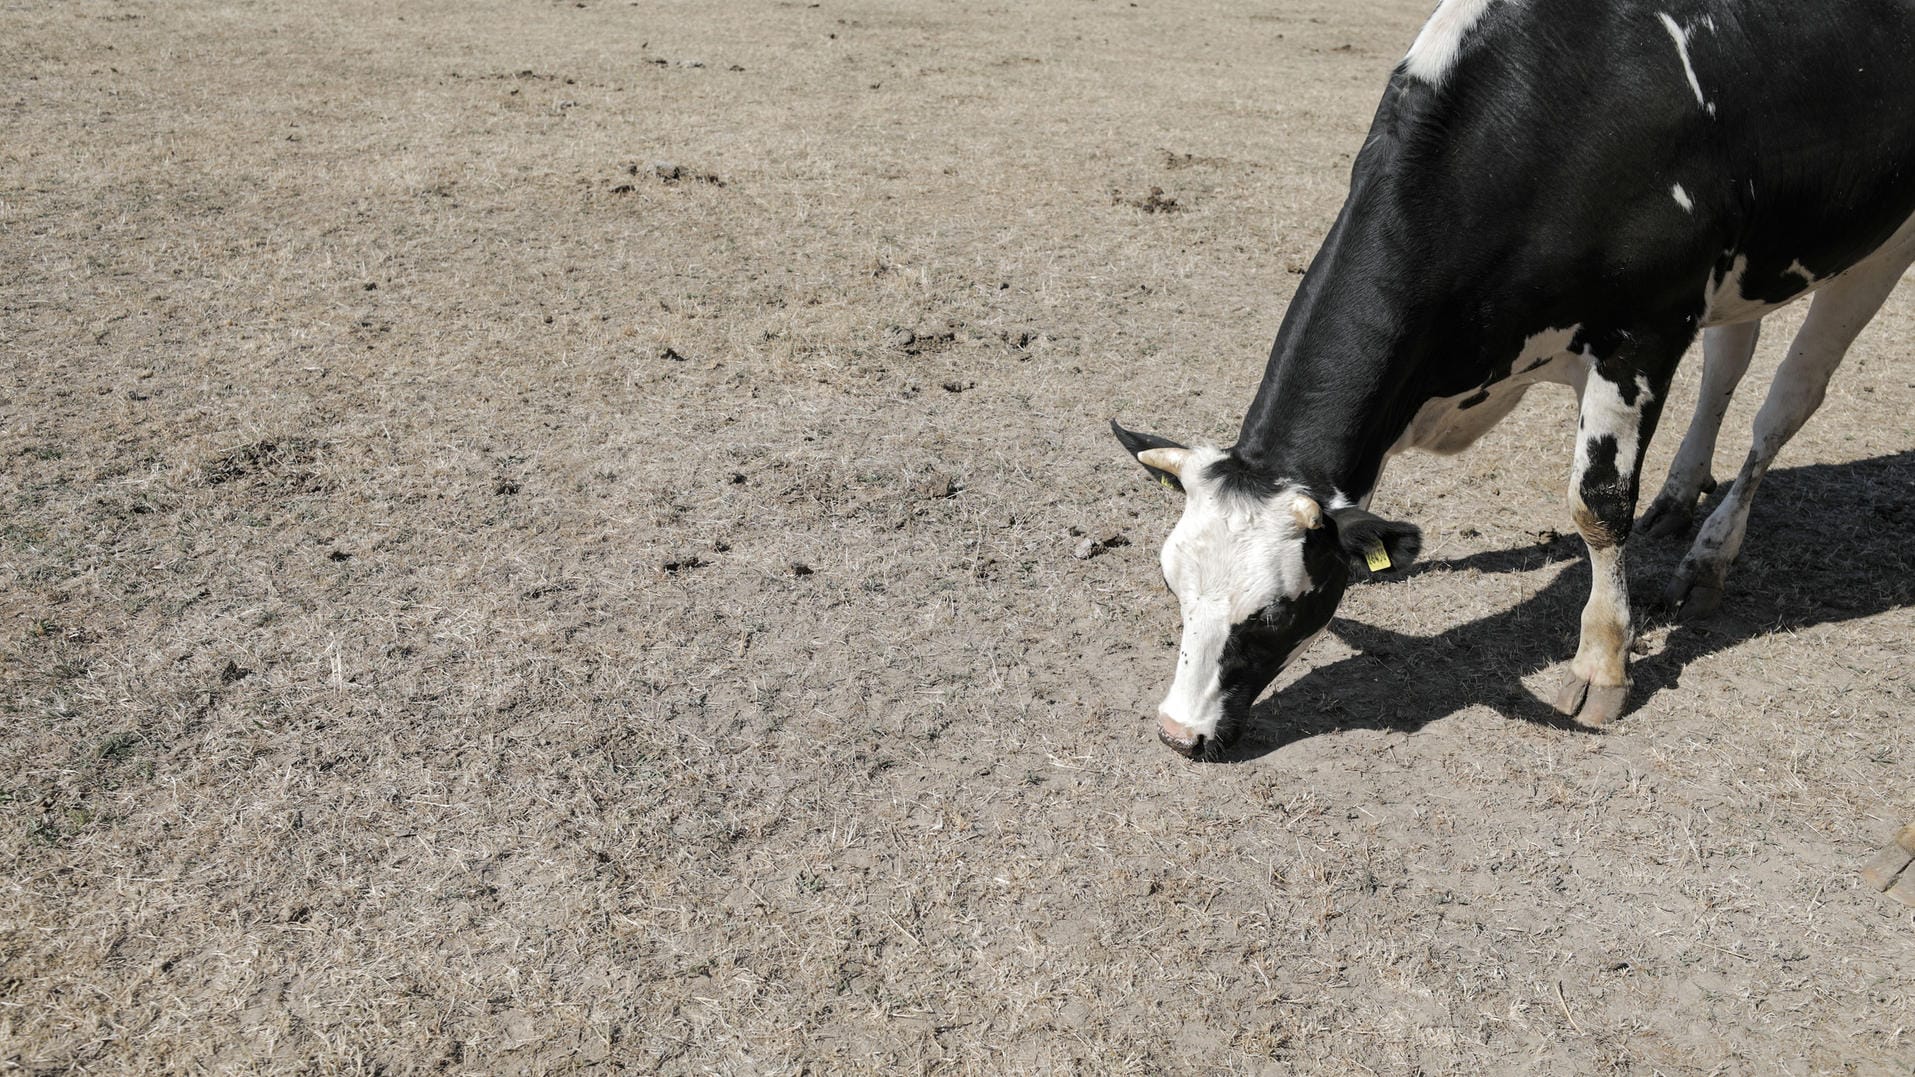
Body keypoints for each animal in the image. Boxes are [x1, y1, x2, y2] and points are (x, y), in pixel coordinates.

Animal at [1118, 0, 1915, 755]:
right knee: (1727, 365)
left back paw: (1708, 557)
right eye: (1169, 581)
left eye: (1278, 612)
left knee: (1785, 405)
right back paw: (1677, 497)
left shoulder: (1642, 335)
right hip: (1749, 263)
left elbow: (1597, 508)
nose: (1178, 732)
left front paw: (1601, 666)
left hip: (1879, 248)